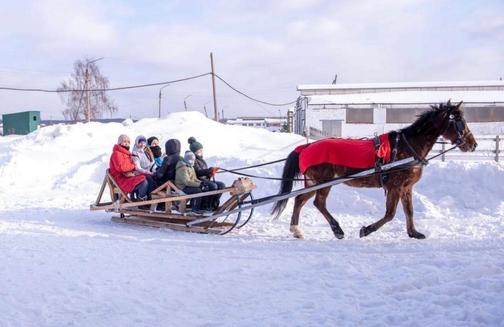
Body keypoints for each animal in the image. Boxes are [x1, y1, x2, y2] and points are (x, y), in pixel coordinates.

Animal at [272, 101, 476, 240]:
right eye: (459, 121)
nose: (473, 144)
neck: (408, 146)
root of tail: (304, 148)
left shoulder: (406, 187)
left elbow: (409, 211)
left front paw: (413, 232)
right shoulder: (395, 186)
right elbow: (390, 214)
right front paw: (366, 230)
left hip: (313, 182)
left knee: (300, 199)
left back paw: (296, 230)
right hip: (323, 182)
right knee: (318, 203)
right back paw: (337, 230)